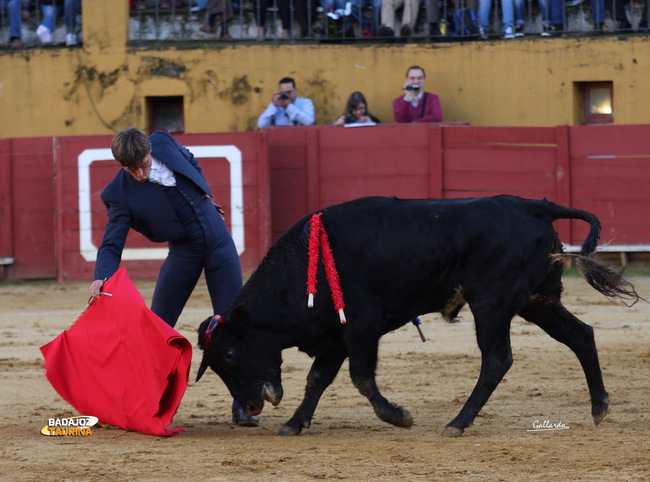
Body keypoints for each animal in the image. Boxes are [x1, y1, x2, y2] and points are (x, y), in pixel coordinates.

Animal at [194, 195, 636, 436]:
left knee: (497, 359)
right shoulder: (335, 334)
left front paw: (398, 416)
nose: (251, 406)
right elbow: (317, 379)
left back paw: (458, 422)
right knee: (582, 335)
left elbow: (360, 376)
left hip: (491, 303)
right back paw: (599, 407)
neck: (304, 264)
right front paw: (295, 423)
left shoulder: (361, 326)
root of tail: (535, 207)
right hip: (538, 301)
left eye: (229, 354)